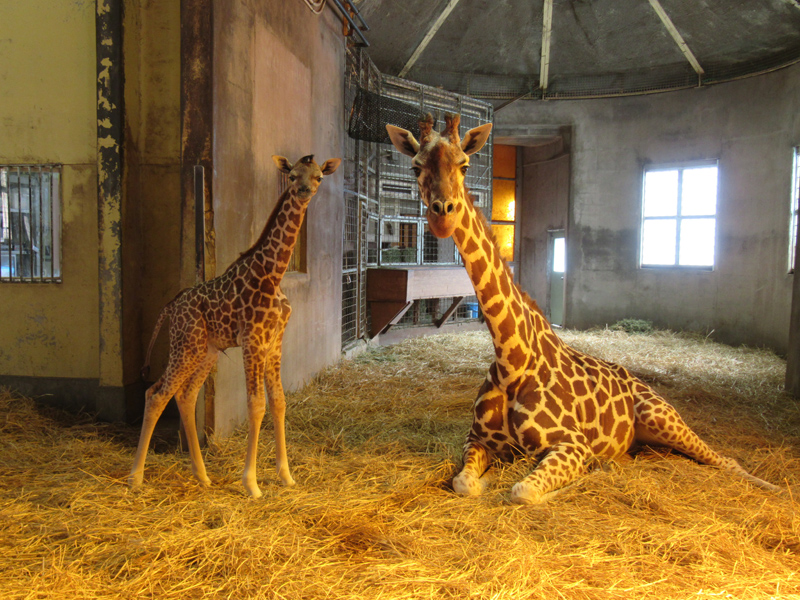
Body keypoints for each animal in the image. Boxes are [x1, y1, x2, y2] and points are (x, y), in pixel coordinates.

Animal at [129, 154, 340, 496]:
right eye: (292, 176)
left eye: (319, 176)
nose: (304, 191)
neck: (274, 273)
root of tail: (171, 307)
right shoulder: (253, 340)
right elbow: (256, 405)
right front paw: (251, 484)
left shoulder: (275, 341)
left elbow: (278, 402)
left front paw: (286, 476)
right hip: (185, 346)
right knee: (156, 394)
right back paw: (135, 477)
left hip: (206, 351)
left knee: (185, 396)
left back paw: (202, 476)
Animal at [388, 115, 780, 504]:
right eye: (416, 166)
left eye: (465, 165)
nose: (442, 215)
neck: (511, 358)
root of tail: (637, 379)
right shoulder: (477, 438)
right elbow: (464, 483)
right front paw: (483, 482)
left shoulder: (572, 444)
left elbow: (522, 491)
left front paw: (583, 474)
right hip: (648, 439)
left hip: (661, 416)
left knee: (725, 460)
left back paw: (773, 486)